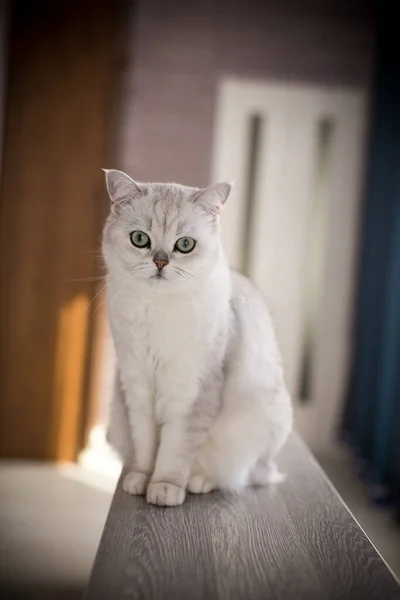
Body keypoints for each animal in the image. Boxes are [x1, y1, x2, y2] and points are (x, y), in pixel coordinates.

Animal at [102, 169, 290, 506]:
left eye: (185, 245)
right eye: (140, 239)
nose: (160, 262)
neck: (158, 309)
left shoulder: (191, 390)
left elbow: (174, 450)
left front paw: (164, 488)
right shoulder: (136, 385)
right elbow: (146, 445)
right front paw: (141, 479)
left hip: (261, 426)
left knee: (245, 475)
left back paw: (200, 481)